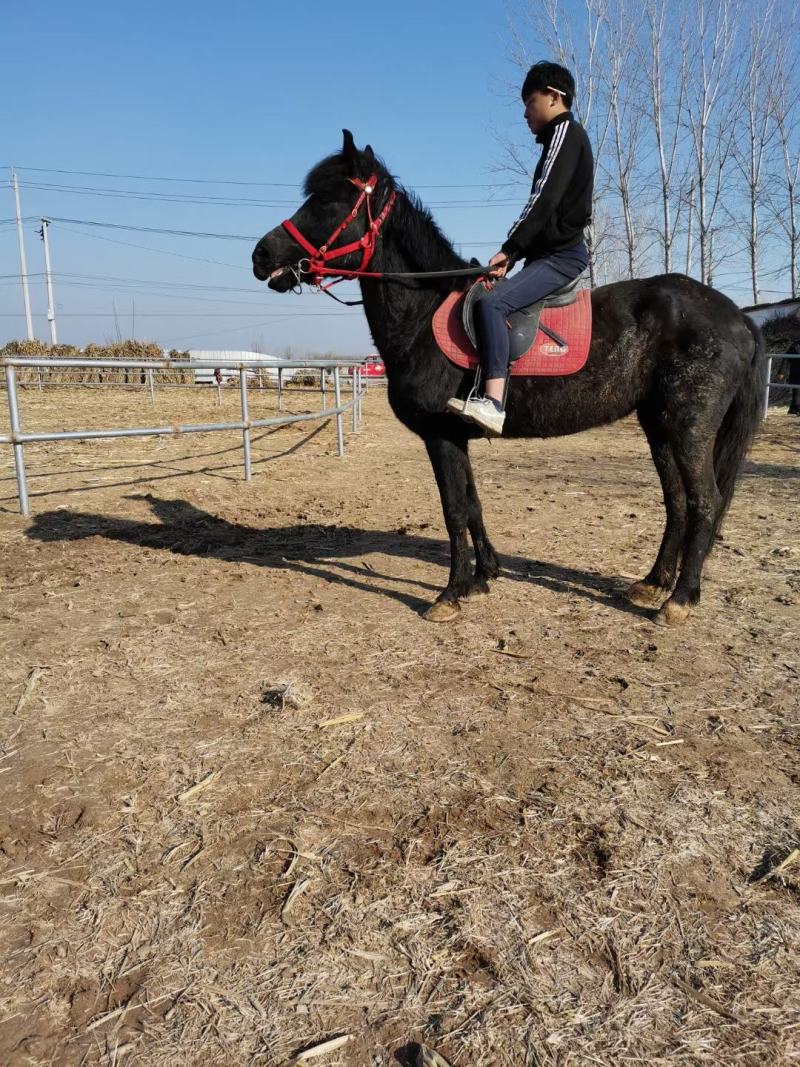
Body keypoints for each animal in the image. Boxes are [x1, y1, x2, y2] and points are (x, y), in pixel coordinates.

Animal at [252, 131, 765, 626]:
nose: (261, 255)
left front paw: (451, 593)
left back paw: (678, 600)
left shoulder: (439, 435)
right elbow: (472, 503)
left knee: (704, 502)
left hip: (688, 428)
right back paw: (653, 583)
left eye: (327, 201)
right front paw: (483, 577)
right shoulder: (456, 436)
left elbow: (453, 508)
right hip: (659, 426)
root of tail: (736, 316)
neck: (422, 313)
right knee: (677, 502)